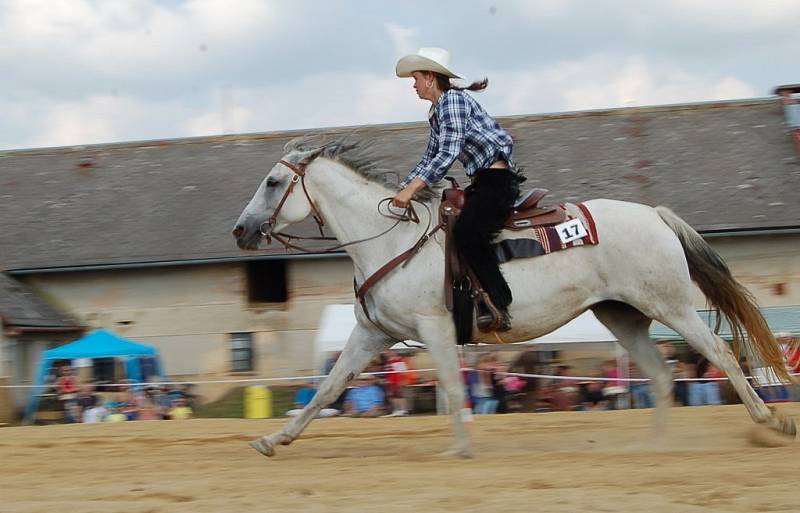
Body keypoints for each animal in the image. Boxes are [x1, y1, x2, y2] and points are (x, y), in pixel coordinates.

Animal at [231, 137, 792, 456]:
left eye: (273, 181)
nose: (241, 230)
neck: (390, 239)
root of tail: (654, 215)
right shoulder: (373, 334)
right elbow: (327, 389)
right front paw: (274, 439)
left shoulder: (435, 328)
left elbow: (453, 385)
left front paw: (459, 449)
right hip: (621, 315)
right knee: (659, 374)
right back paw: (651, 446)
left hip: (670, 305)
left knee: (721, 355)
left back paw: (769, 422)